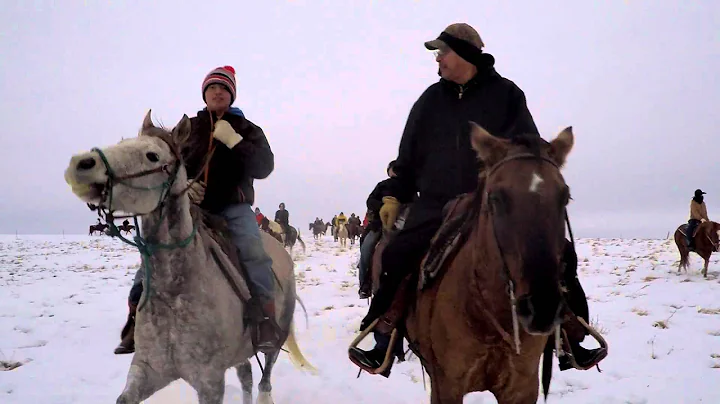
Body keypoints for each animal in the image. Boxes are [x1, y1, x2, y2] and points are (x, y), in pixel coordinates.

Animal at [354, 124, 580, 402]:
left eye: (565, 197)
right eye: (496, 198)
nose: (542, 307)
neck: (490, 318)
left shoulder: (523, 386)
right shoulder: (446, 384)